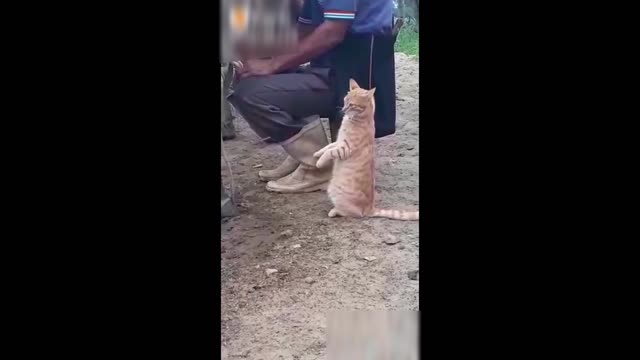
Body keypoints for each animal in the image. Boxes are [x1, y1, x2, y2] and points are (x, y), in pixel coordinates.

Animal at [314, 78, 420, 219]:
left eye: (351, 104)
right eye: (345, 100)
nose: (343, 109)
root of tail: (370, 208)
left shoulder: (345, 148)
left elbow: (330, 152)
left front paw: (319, 162)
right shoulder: (339, 141)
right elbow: (327, 147)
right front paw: (316, 154)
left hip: (335, 192)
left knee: (351, 213)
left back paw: (334, 211)